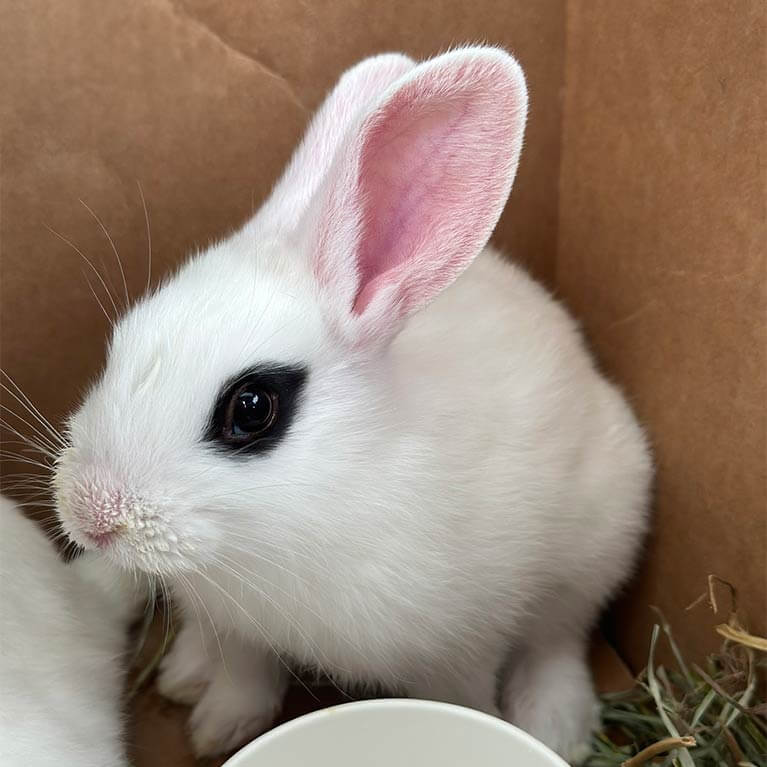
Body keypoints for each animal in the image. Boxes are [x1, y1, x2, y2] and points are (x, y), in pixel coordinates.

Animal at [52, 46, 652, 761]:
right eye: (119, 342)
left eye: (251, 408)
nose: (91, 515)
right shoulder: (238, 627)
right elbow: (245, 676)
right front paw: (218, 728)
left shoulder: (460, 649)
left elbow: (465, 698)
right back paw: (185, 672)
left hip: (598, 547)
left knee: (558, 640)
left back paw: (556, 725)